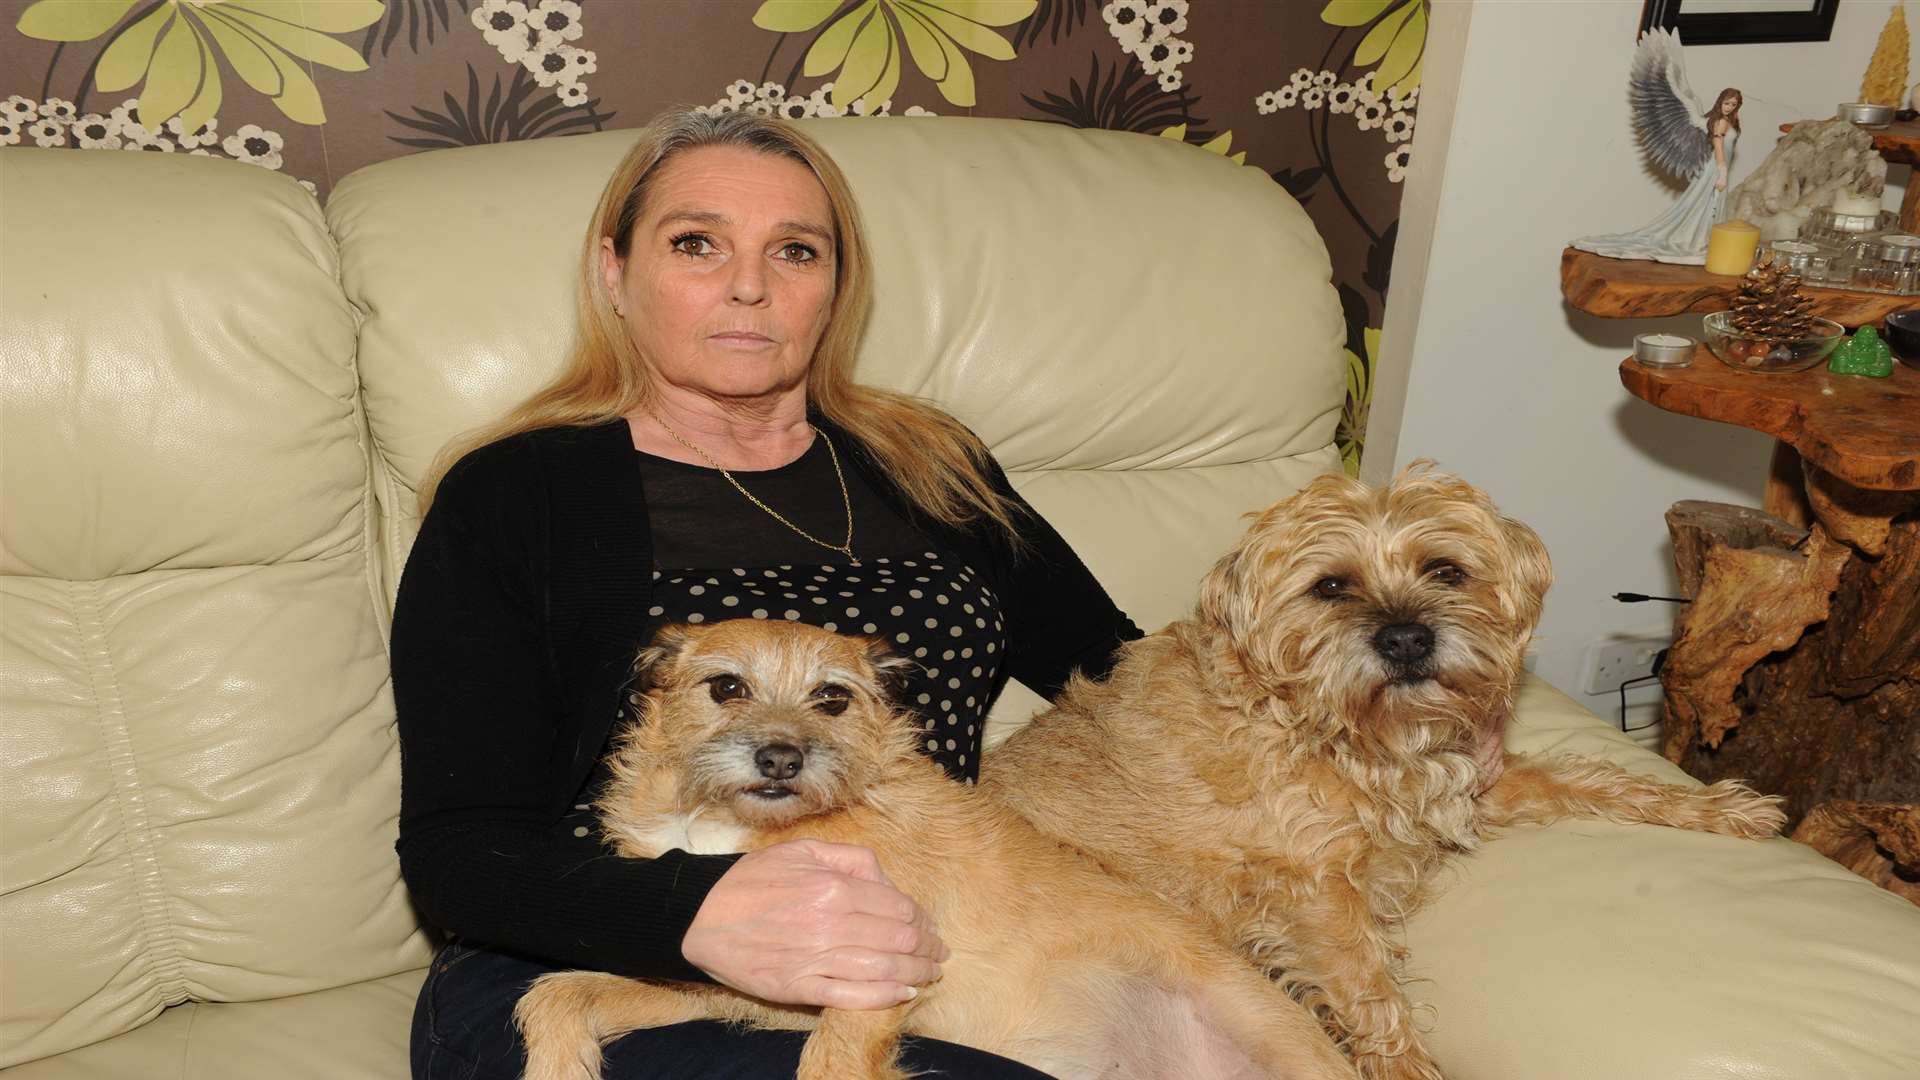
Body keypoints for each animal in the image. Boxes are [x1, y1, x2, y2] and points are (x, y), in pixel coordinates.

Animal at [506, 614, 1351, 1076]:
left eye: (832, 698)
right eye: (726, 687)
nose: (780, 759)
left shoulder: (876, 974)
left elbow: (828, 1064)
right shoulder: (724, 982)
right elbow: (557, 992)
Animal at [983, 465, 1789, 1076]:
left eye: (1446, 570)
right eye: (1330, 587)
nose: (1406, 638)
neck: (1344, 735)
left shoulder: (1475, 785)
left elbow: (1600, 780)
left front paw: (1725, 809)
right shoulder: (1318, 896)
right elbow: (1376, 998)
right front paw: (1404, 1066)